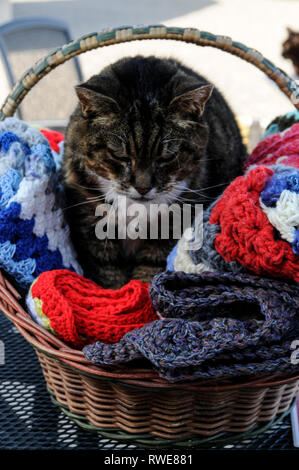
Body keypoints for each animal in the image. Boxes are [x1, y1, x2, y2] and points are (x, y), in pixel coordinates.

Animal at [62, 57, 247, 288]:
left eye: (166, 157)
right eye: (119, 155)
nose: (143, 187)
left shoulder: (176, 219)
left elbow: (152, 265)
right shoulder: (91, 217)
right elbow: (108, 268)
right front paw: (116, 294)